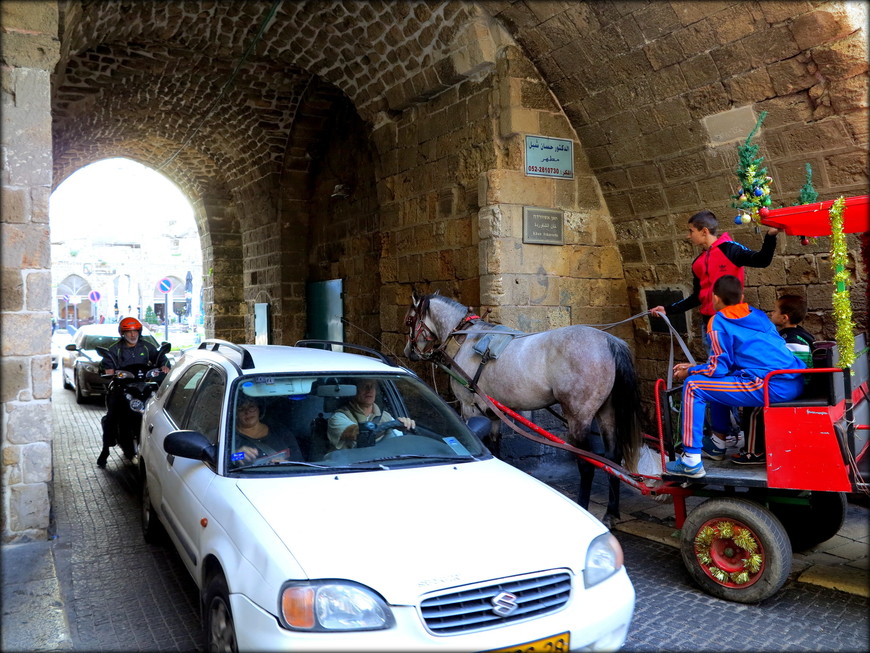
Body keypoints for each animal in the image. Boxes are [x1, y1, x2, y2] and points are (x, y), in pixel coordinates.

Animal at [406, 290, 644, 524]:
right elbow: (495, 446)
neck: (468, 337)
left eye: (409, 320)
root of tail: (608, 341)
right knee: (612, 458)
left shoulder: (469, 406)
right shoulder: (493, 413)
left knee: (587, 464)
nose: (408, 351)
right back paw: (611, 512)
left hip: (579, 417)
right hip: (607, 412)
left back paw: (585, 506)